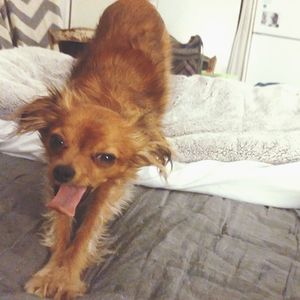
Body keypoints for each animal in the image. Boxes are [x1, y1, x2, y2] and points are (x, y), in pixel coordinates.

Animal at [16, 1, 171, 298]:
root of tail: (138, 3)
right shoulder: (54, 184)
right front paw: (51, 272)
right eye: (56, 141)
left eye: (106, 158)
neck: (105, 100)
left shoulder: (111, 188)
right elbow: (62, 226)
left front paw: (66, 277)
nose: (64, 172)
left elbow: (87, 232)